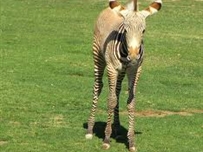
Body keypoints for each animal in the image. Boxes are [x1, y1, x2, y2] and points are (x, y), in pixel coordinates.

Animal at [85, 0, 162, 151]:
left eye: (143, 30)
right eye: (126, 31)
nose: (133, 57)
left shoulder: (135, 70)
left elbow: (131, 102)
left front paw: (131, 141)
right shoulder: (112, 69)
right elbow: (111, 100)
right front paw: (106, 139)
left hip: (121, 72)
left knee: (117, 90)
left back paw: (116, 128)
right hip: (98, 57)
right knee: (98, 87)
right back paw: (90, 129)